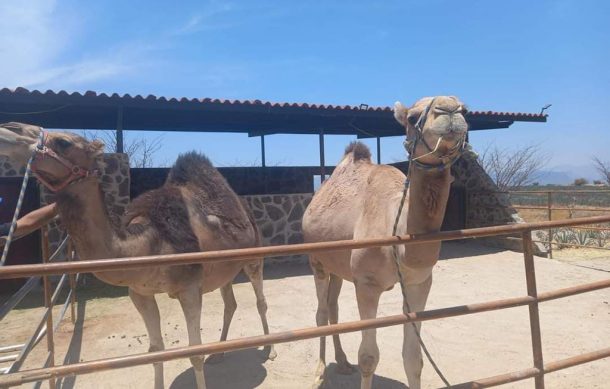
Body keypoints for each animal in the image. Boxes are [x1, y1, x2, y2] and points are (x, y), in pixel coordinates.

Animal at [0, 122, 276, 388]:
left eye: (64, 142)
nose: (9, 129)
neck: (147, 244)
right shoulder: (139, 293)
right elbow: (156, 351)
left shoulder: (189, 288)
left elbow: (194, 352)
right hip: (223, 270)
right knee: (230, 303)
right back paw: (219, 353)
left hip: (254, 257)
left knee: (260, 300)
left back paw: (269, 349)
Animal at [302, 94, 468, 388]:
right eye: (412, 118)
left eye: (466, 110)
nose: (448, 109)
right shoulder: (367, 284)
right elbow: (368, 357)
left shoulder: (419, 283)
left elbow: (413, 359)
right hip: (316, 260)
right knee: (321, 312)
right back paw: (319, 372)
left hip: (338, 265)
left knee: (333, 307)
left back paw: (342, 363)